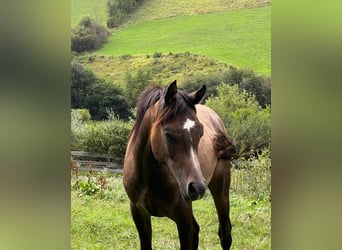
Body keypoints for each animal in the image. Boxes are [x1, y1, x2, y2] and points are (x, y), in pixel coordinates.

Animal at [123, 81, 238, 249]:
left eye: (201, 133)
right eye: (168, 134)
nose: (197, 187)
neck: (149, 180)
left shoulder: (183, 217)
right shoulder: (138, 213)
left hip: (221, 189)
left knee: (225, 233)